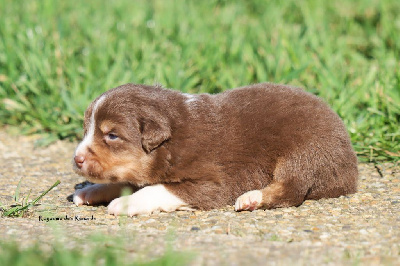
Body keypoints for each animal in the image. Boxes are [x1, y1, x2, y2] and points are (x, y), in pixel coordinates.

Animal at [72, 83, 360, 216]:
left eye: (111, 135)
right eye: (87, 130)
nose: (76, 159)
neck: (171, 142)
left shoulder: (211, 182)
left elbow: (159, 189)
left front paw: (125, 203)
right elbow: (123, 180)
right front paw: (87, 191)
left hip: (304, 151)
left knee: (292, 189)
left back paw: (251, 198)